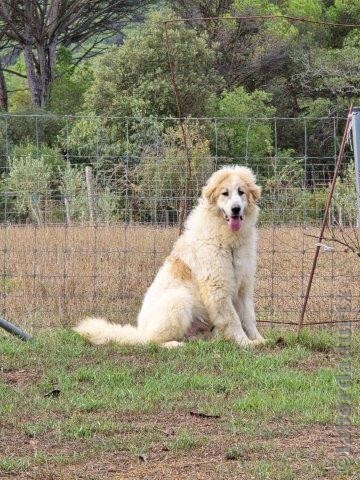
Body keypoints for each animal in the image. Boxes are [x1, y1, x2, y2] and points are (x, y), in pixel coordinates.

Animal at [75, 167, 264, 346]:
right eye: (225, 193)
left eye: (241, 192)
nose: (235, 209)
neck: (228, 241)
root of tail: (140, 332)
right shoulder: (218, 288)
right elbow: (233, 320)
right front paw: (244, 342)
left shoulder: (244, 287)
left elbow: (249, 318)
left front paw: (259, 340)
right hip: (179, 300)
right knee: (151, 341)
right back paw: (174, 344)